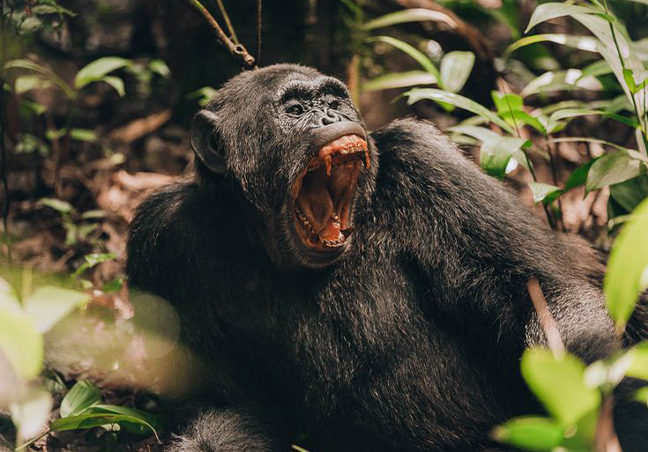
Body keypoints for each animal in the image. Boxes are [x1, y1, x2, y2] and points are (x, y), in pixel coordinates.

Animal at [127, 64, 646, 452]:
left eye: (333, 101)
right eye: (294, 109)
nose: (328, 118)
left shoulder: (427, 165)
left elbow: (536, 294)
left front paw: (604, 411)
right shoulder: (162, 239)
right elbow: (219, 404)